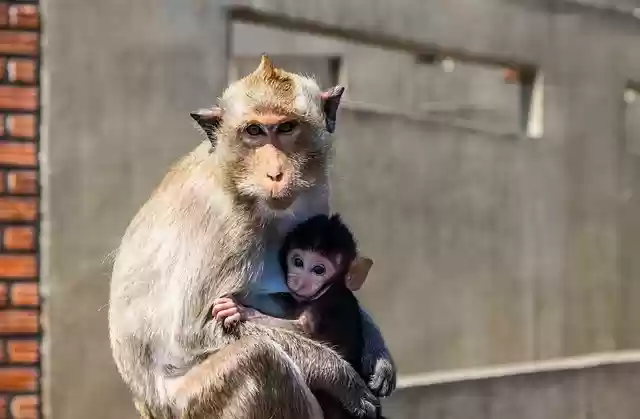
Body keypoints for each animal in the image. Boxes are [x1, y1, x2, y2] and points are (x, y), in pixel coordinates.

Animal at [108, 55, 396, 419]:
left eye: (286, 128)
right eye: (255, 131)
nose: (275, 174)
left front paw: (378, 351)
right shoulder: (228, 231)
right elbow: (193, 332)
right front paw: (340, 376)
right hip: (193, 404)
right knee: (261, 359)